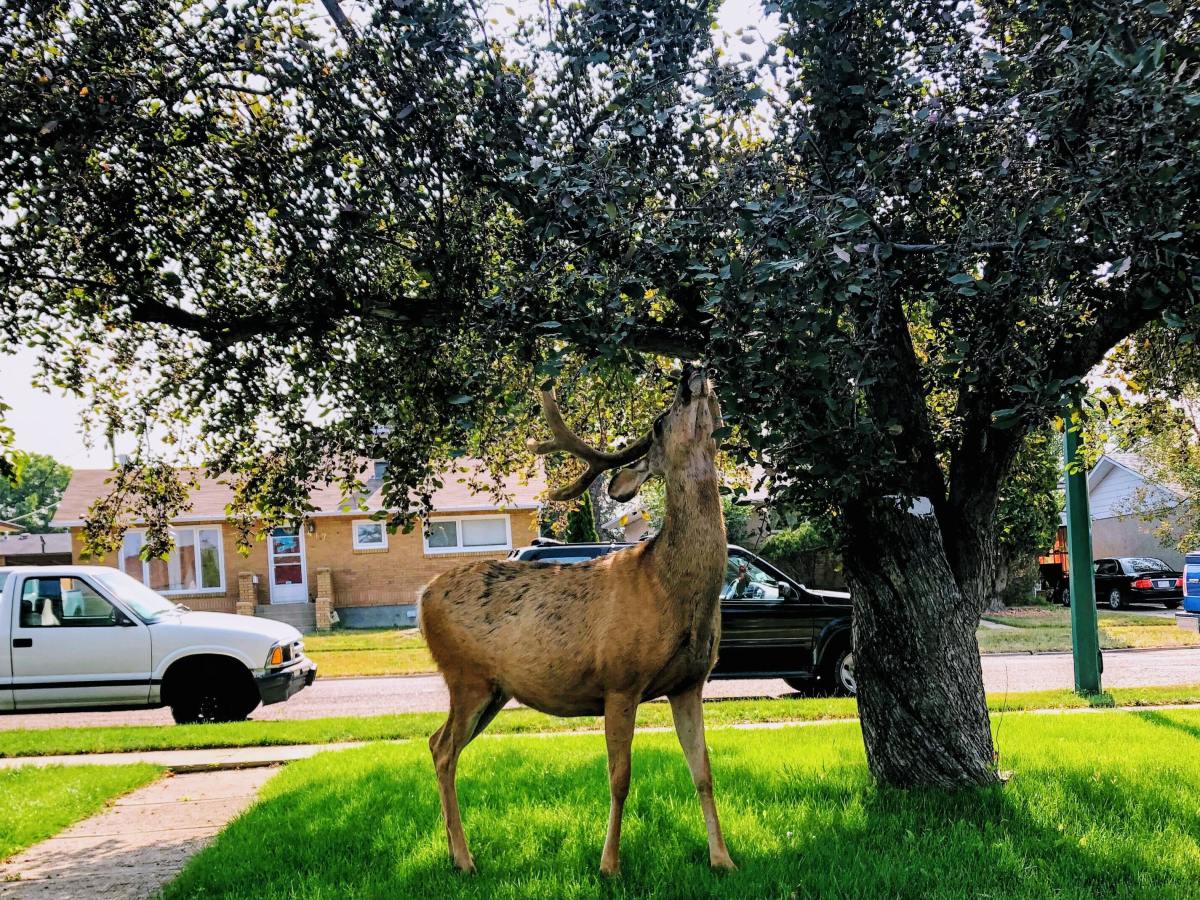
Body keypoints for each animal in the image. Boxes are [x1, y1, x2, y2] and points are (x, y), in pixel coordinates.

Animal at [418, 363, 734, 876]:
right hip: (466, 675)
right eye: (659, 423)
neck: (671, 588)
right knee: (445, 751)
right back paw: (466, 860)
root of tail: (422, 596)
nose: (690, 372)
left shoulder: (690, 683)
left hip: (492, 689)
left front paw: (722, 859)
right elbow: (620, 778)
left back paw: (453, 851)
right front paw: (609, 866)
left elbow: (703, 773)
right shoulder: (621, 680)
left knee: (434, 741)